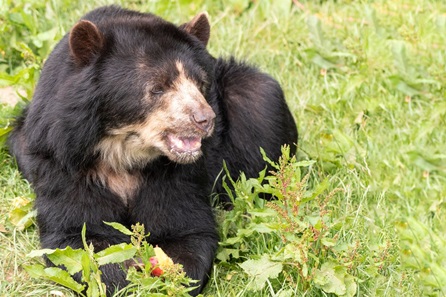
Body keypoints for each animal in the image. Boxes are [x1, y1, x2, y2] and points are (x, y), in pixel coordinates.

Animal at [7, 5, 296, 296]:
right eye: (157, 88)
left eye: (200, 83)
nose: (205, 119)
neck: (122, 153)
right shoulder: (62, 162)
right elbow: (78, 237)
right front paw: (128, 275)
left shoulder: (176, 175)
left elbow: (187, 229)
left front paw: (168, 274)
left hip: (257, 101)